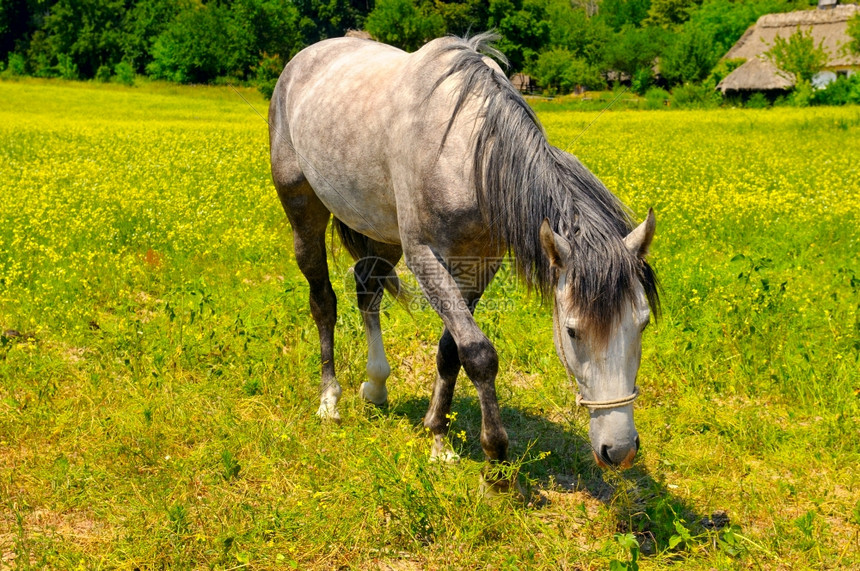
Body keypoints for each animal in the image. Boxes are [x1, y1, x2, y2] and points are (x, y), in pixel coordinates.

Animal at [268, 32, 660, 488]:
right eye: (572, 331)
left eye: (642, 323)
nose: (619, 450)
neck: (467, 156)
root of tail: (305, 58)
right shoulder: (425, 258)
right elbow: (477, 353)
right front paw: (496, 459)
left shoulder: (479, 265)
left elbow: (450, 351)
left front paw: (438, 437)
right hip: (303, 212)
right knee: (323, 302)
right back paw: (330, 401)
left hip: (383, 232)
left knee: (367, 290)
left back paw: (376, 386)